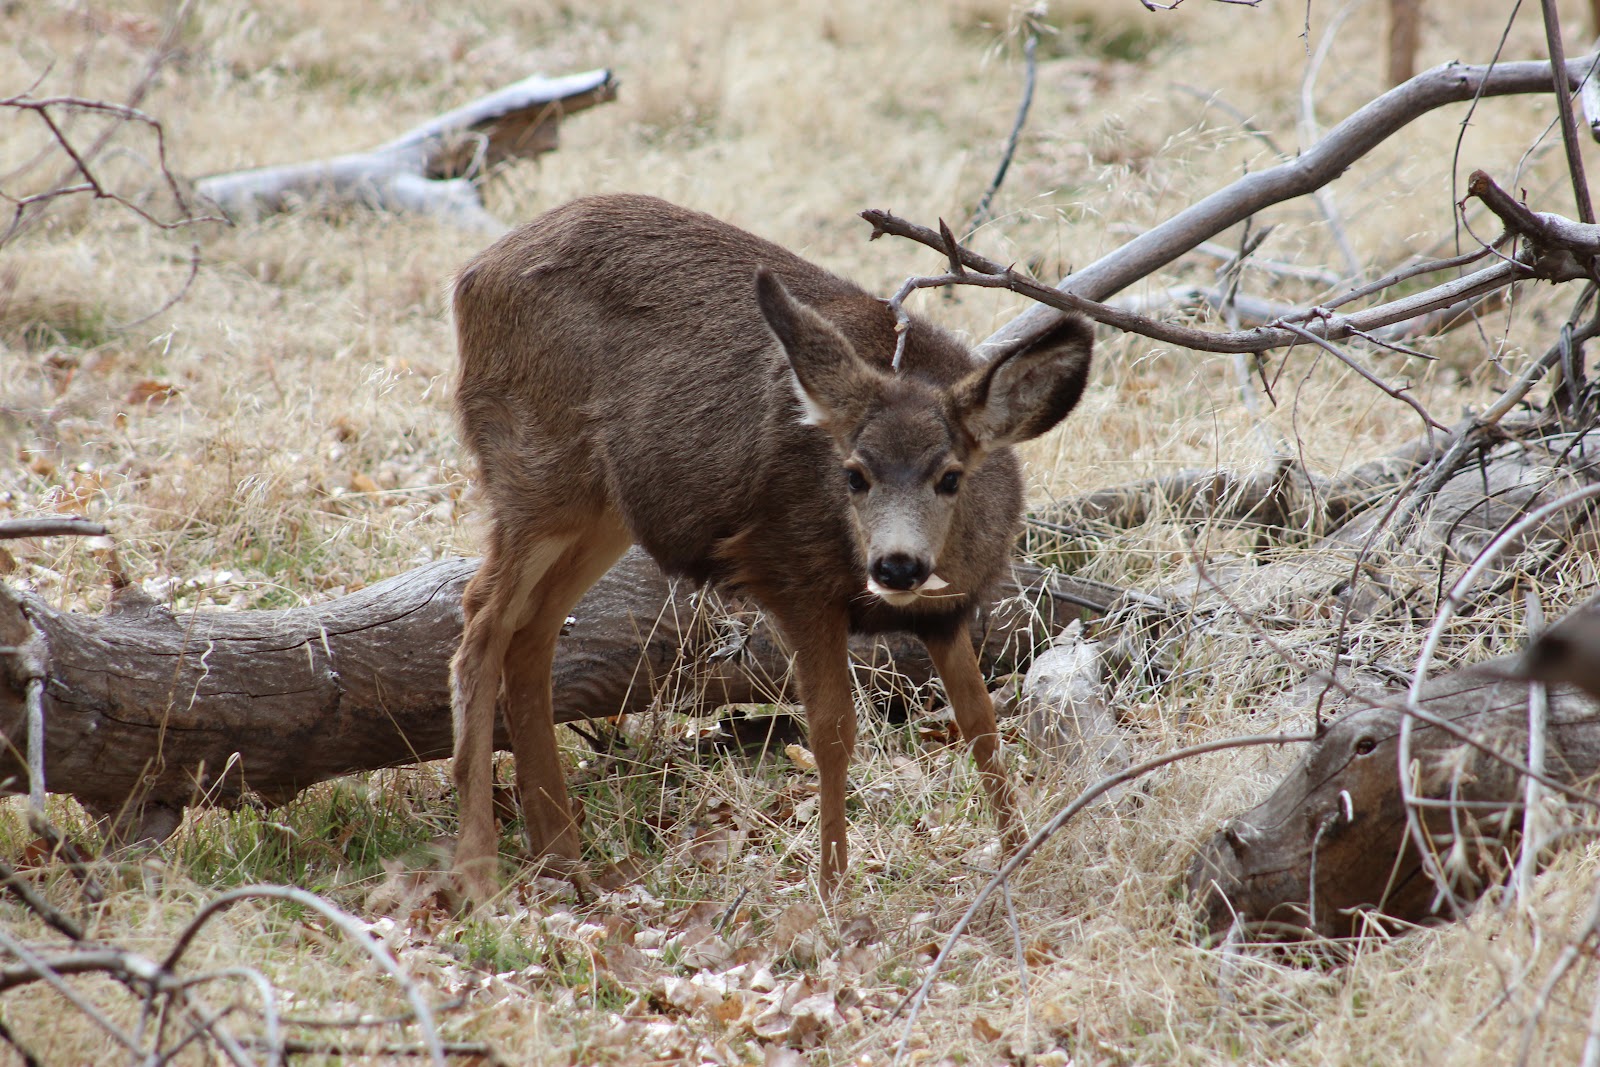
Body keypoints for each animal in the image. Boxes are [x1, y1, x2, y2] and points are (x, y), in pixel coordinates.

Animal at [448, 193, 1093, 900]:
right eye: (853, 474)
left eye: (950, 475)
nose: (896, 565)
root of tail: (471, 277)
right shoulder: (794, 578)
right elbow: (833, 729)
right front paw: (833, 887)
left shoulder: (947, 612)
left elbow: (980, 722)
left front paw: (1017, 860)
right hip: (536, 467)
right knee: (481, 618)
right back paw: (476, 869)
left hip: (605, 509)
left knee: (531, 631)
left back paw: (563, 856)